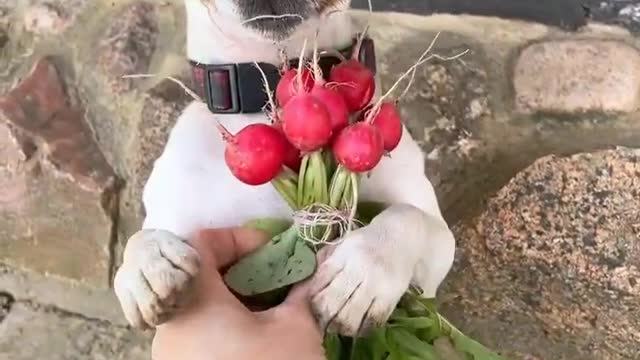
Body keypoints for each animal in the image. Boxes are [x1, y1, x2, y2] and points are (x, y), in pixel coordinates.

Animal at [114, 0, 456, 338]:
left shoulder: (436, 254)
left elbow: (408, 216)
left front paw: (362, 273)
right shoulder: (175, 212)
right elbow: (137, 239)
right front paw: (148, 265)